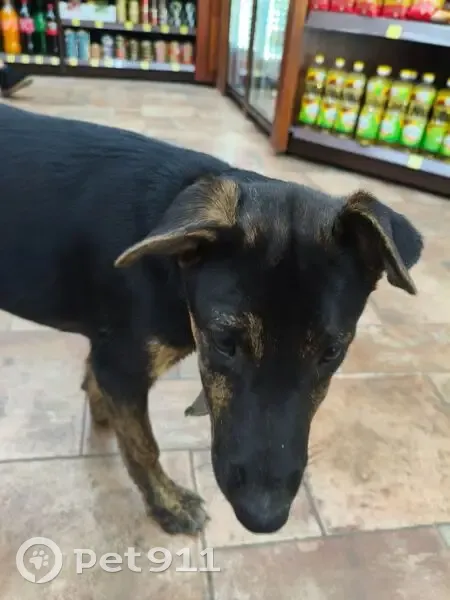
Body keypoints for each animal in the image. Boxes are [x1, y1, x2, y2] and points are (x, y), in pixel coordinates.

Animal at [0, 104, 423, 535]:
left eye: (332, 352)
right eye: (224, 342)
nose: (263, 517)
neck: (172, 262)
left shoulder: (109, 357)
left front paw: (100, 409)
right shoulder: (122, 367)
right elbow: (143, 445)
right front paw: (168, 504)